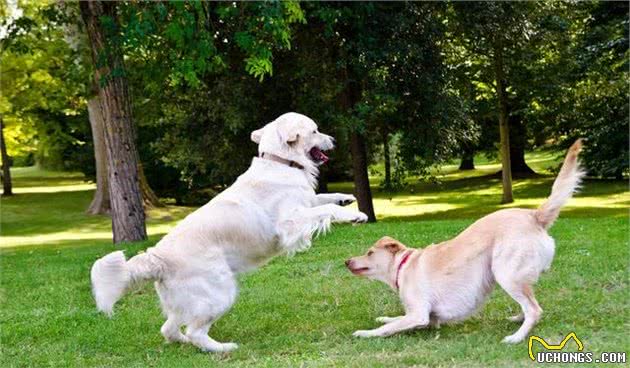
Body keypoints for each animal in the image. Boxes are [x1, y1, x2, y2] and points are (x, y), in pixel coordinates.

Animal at [90, 113, 368, 354]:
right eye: (315, 131)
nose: (334, 140)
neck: (279, 161)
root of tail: (156, 257)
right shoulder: (289, 223)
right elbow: (324, 209)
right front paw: (353, 215)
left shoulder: (306, 201)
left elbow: (322, 198)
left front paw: (348, 199)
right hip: (219, 292)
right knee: (194, 331)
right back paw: (222, 348)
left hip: (185, 302)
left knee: (169, 329)